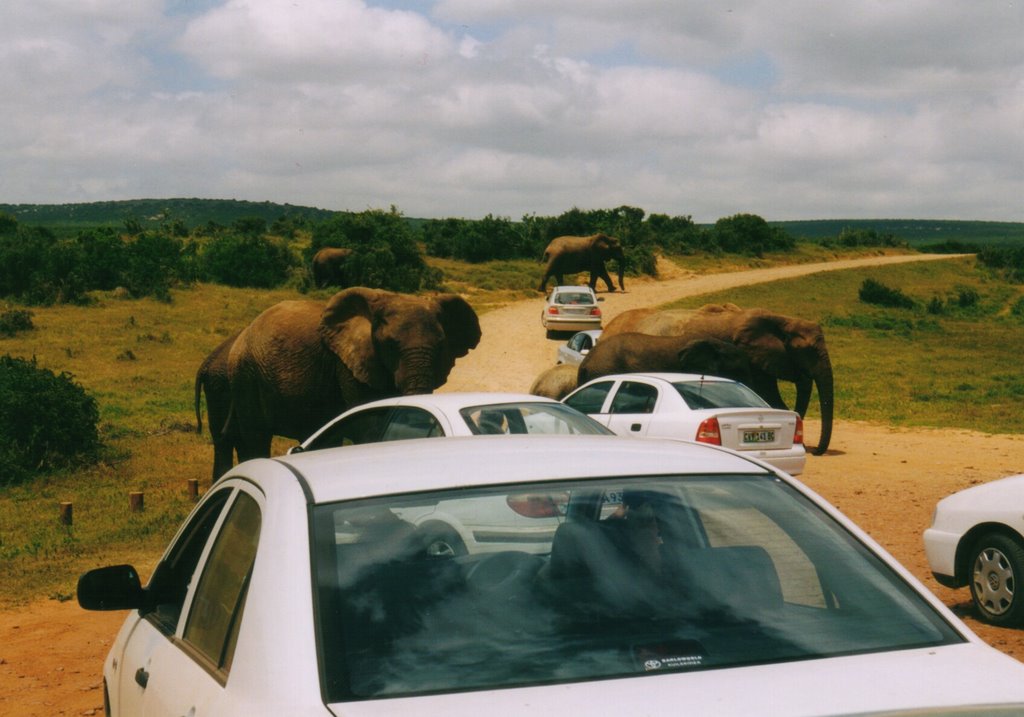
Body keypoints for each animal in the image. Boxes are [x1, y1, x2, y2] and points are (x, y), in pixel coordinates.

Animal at [203, 284, 483, 475]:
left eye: (441, 345)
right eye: (390, 345)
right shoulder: (347, 364)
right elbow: (368, 424)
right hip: (246, 375)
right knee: (255, 437)